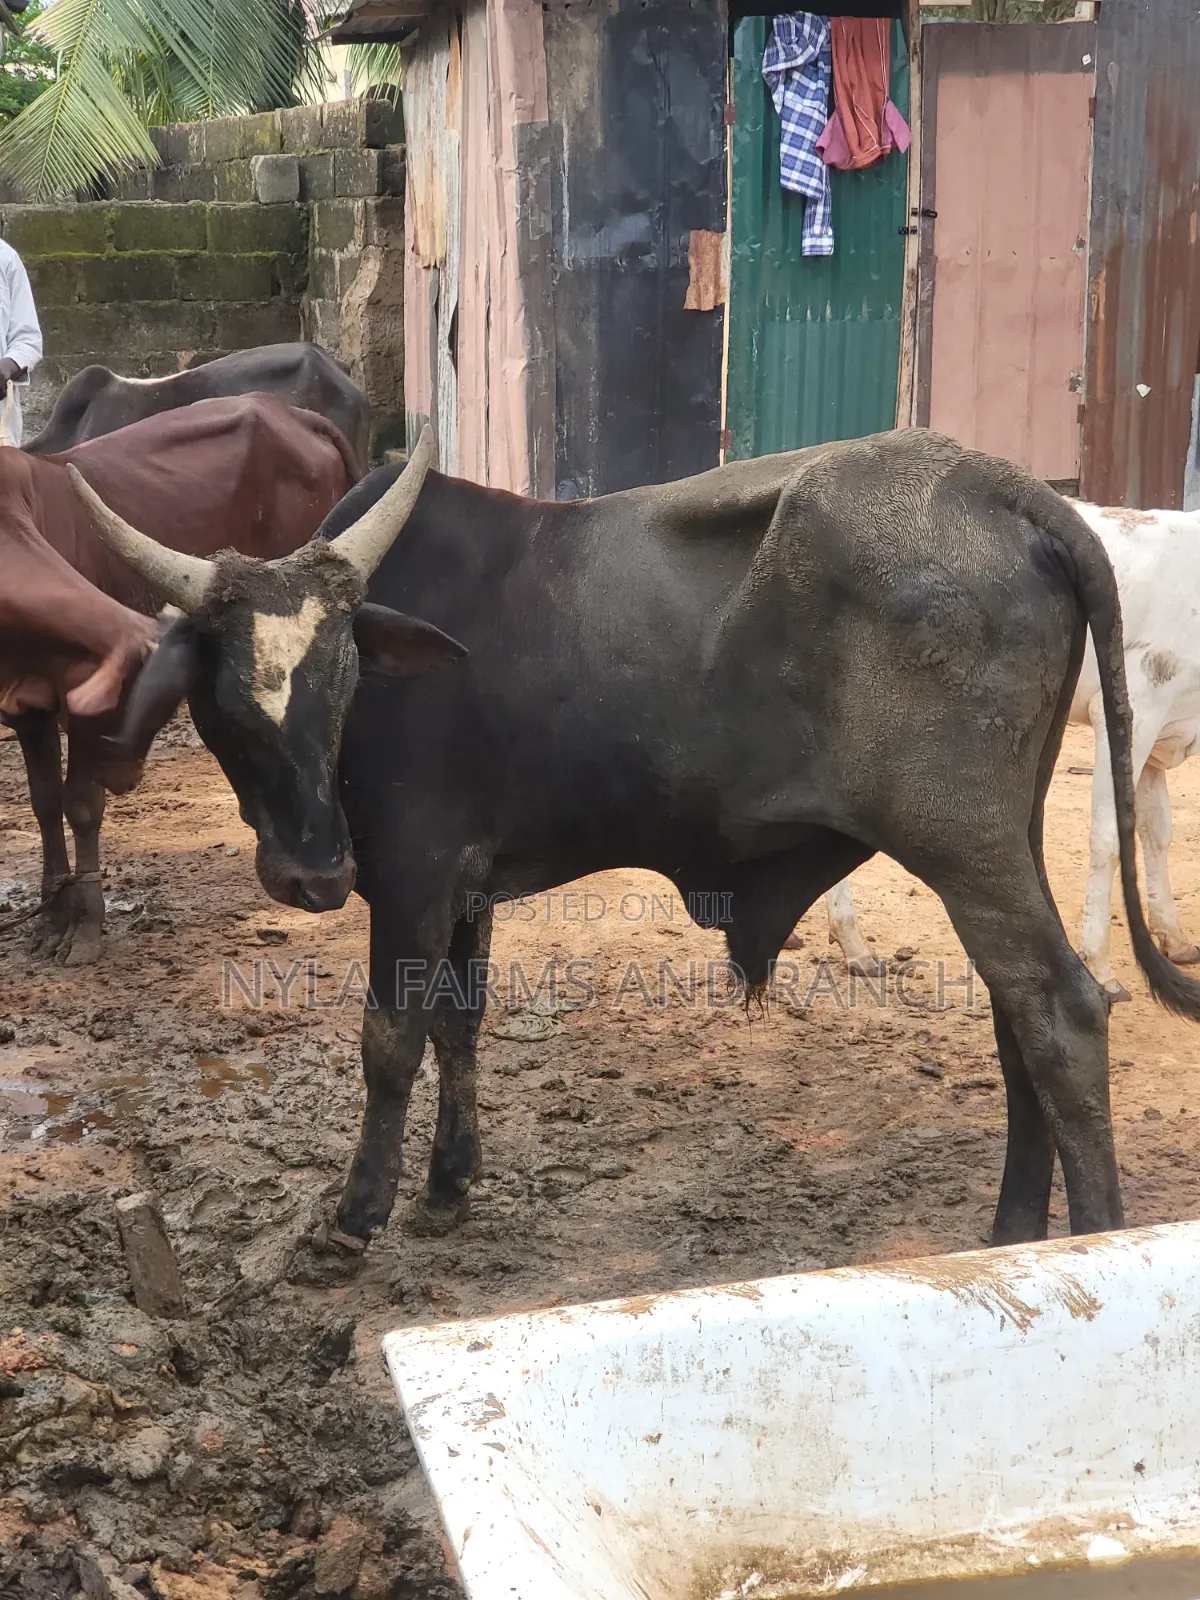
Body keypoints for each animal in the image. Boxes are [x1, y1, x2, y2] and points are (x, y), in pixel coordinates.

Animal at [2, 393, 361, 964]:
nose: (126, 770)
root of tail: (295, 414)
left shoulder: (86, 707)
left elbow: (81, 804)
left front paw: (85, 924)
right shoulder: (27, 706)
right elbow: (44, 803)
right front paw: (52, 916)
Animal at [820, 501, 1200, 1004]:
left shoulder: (1164, 728)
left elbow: (1156, 830)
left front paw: (1174, 937)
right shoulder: (1135, 702)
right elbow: (1111, 835)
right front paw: (1099, 966)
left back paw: (853, 945)